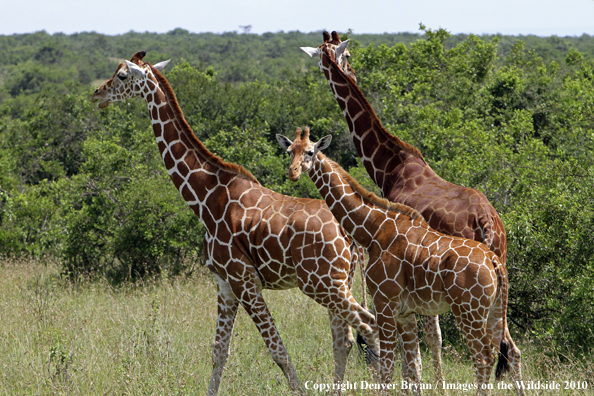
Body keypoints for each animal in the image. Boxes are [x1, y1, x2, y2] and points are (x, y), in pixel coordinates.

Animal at [92, 52, 380, 396]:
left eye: (122, 75)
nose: (97, 95)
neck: (205, 197)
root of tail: (349, 235)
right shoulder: (224, 282)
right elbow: (219, 351)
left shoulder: (245, 279)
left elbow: (278, 351)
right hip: (339, 281)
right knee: (345, 339)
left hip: (322, 283)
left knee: (369, 327)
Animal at [276, 128, 524, 394]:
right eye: (289, 151)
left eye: (310, 152)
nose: (293, 172)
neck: (373, 229)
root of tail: (495, 262)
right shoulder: (405, 312)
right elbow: (413, 367)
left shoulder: (385, 302)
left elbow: (387, 368)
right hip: (494, 310)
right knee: (509, 352)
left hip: (470, 312)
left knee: (484, 358)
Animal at [302, 31, 506, 380]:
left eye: (346, 55)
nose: (352, 73)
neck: (391, 165)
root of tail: (487, 222)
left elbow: (422, 340)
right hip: (500, 268)